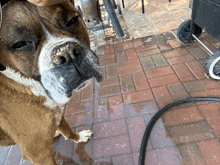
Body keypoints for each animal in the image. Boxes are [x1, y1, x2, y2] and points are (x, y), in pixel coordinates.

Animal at [0, 0, 102, 164]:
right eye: (21, 44)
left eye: (72, 20)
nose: (67, 53)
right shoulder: (39, 154)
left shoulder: (56, 112)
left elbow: (67, 129)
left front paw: (78, 137)